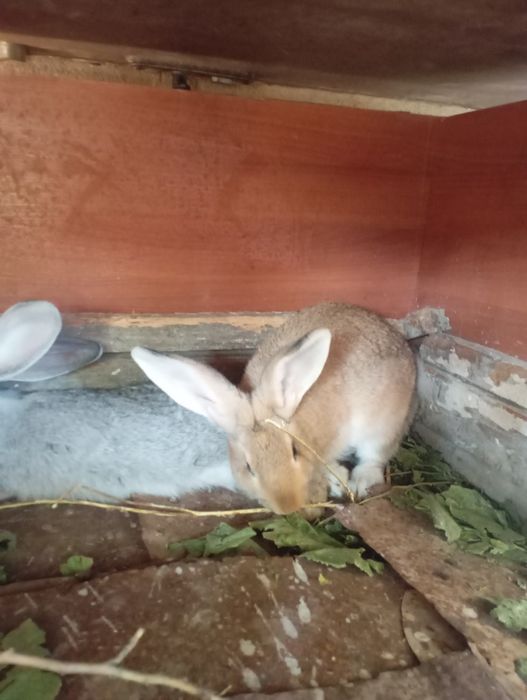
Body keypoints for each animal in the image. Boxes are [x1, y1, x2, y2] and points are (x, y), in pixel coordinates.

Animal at [132, 302, 416, 514]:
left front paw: (338, 479)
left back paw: (362, 480)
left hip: (383, 424)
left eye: (295, 451)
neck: (301, 423)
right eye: (248, 467)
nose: (287, 507)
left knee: (374, 457)